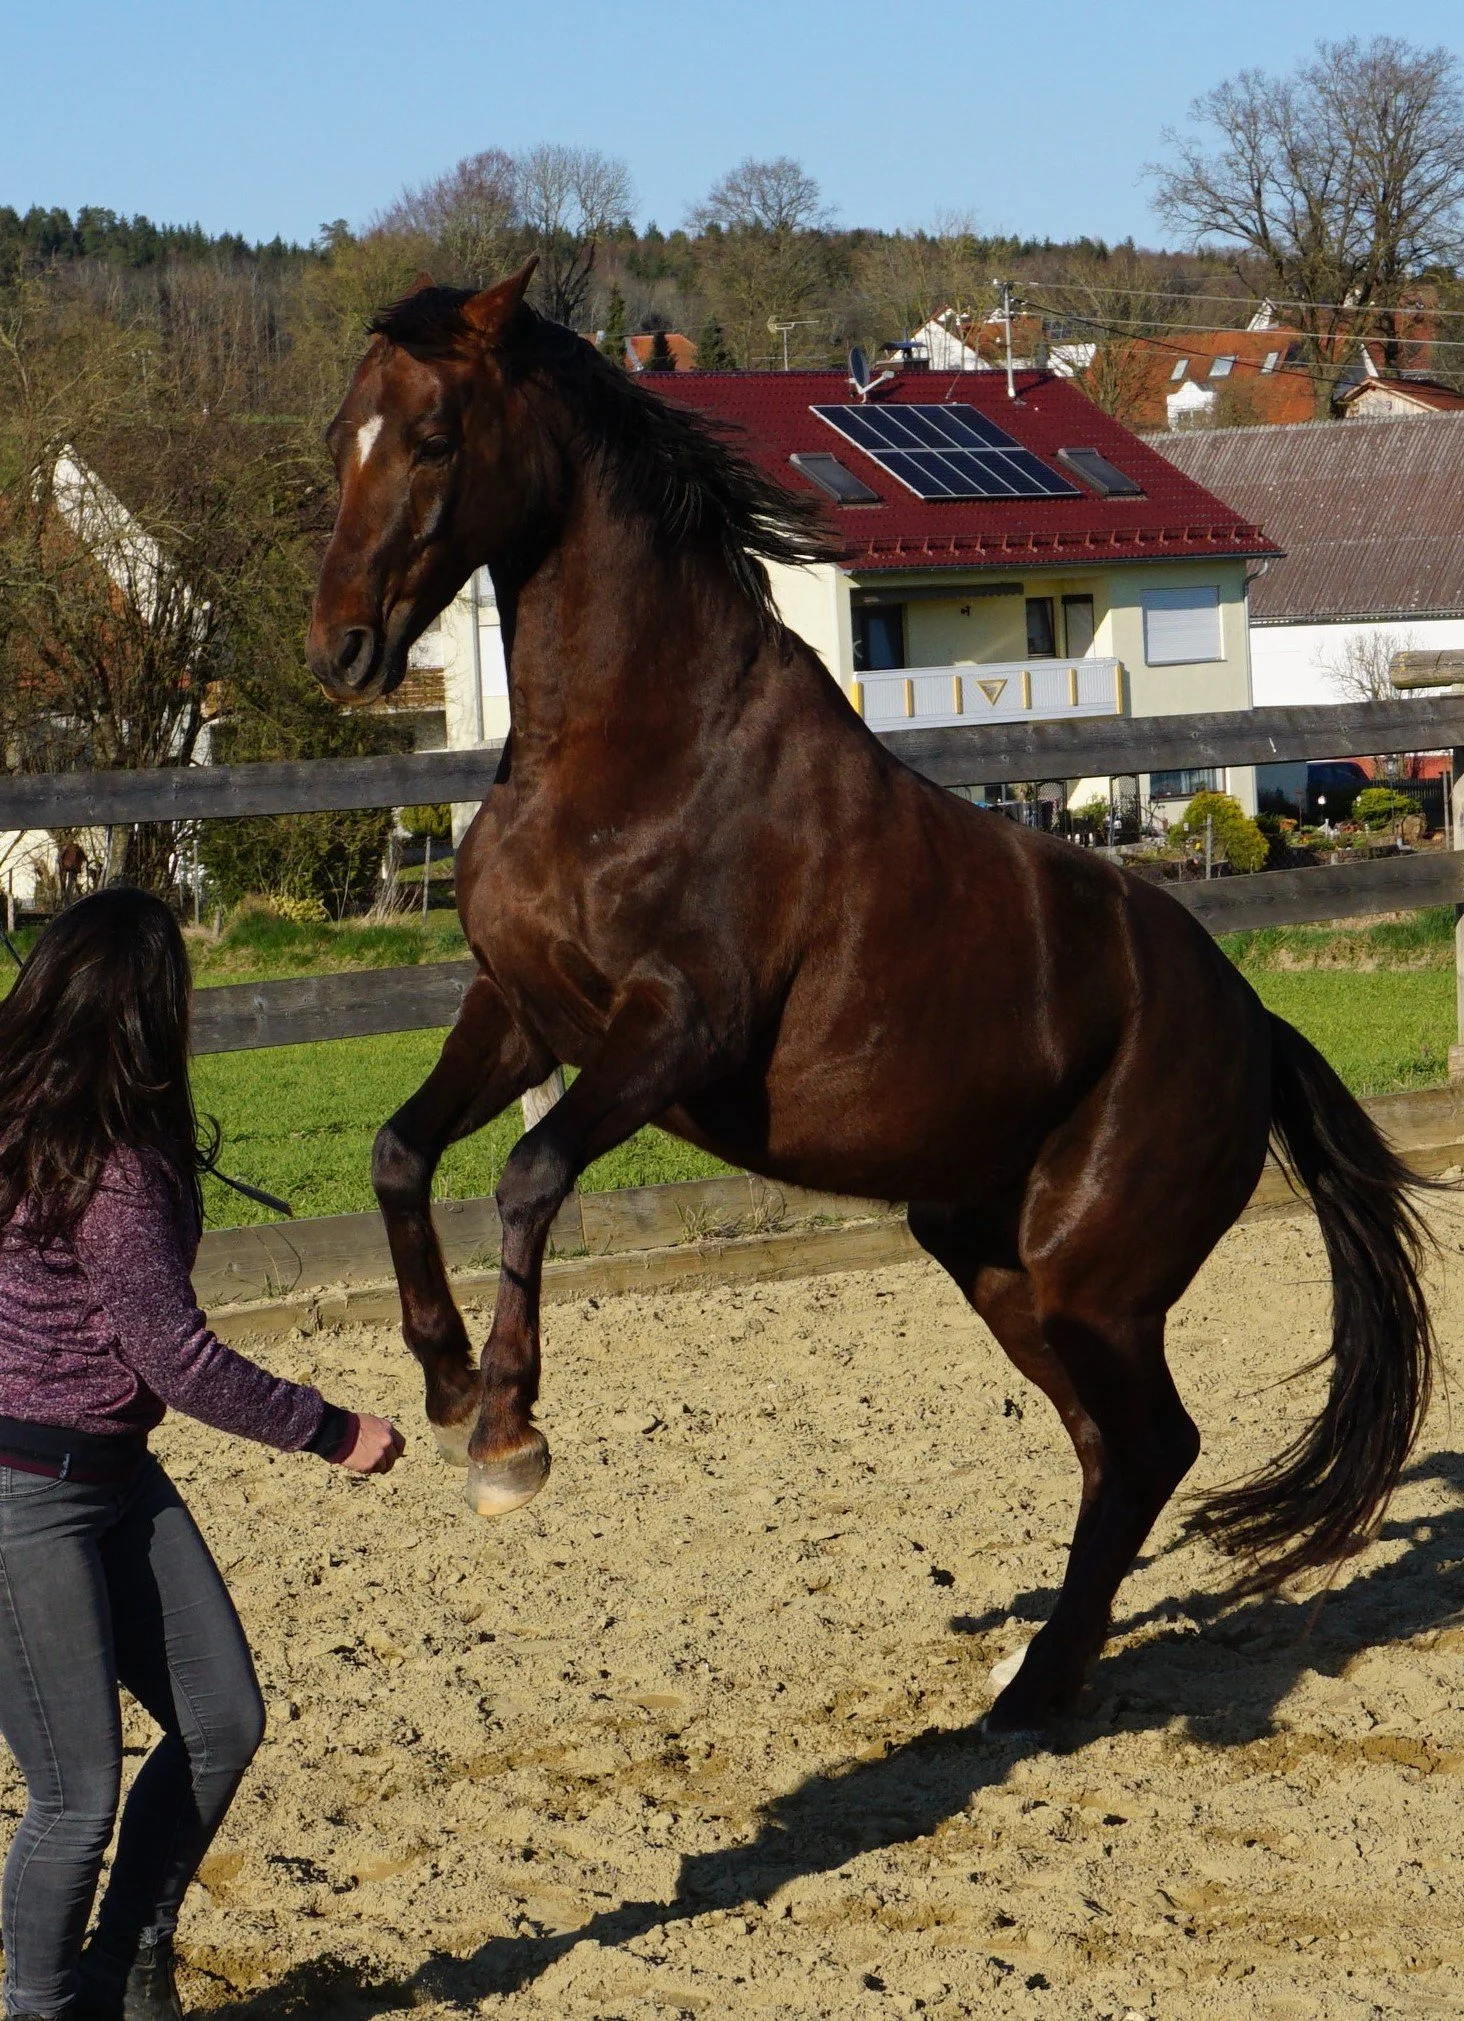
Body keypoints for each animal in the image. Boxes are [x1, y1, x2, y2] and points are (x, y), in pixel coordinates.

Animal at [306, 262, 1434, 1731]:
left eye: (435, 437)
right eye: (344, 435)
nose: (341, 650)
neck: (630, 749)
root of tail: (1257, 1028)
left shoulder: (675, 1030)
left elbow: (530, 1174)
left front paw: (508, 1435)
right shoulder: (520, 1010)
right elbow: (401, 1151)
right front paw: (445, 1387)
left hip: (1091, 1279)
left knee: (1154, 1443)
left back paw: (1039, 1684)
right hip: (998, 1263)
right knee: (1117, 1451)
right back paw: (1039, 1677)